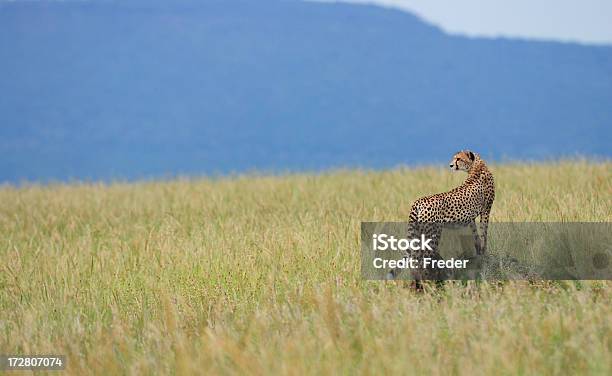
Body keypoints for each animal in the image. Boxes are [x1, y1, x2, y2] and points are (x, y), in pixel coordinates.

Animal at [390, 151, 494, 282]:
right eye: (455, 158)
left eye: (458, 159)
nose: (451, 165)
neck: (477, 167)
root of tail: (418, 201)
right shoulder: (486, 209)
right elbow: (484, 233)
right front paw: (484, 253)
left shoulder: (472, 218)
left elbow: (476, 235)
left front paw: (479, 252)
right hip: (433, 234)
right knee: (424, 259)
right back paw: (429, 281)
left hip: (418, 232)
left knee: (415, 257)